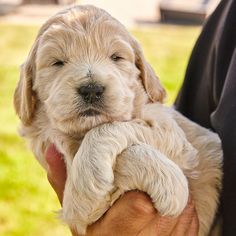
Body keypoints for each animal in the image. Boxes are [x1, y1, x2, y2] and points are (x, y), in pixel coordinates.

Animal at [13, 4, 223, 235]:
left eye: (116, 57)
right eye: (57, 62)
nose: (91, 89)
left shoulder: (172, 134)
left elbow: (112, 129)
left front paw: (86, 178)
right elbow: (85, 205)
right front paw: (171, 184)